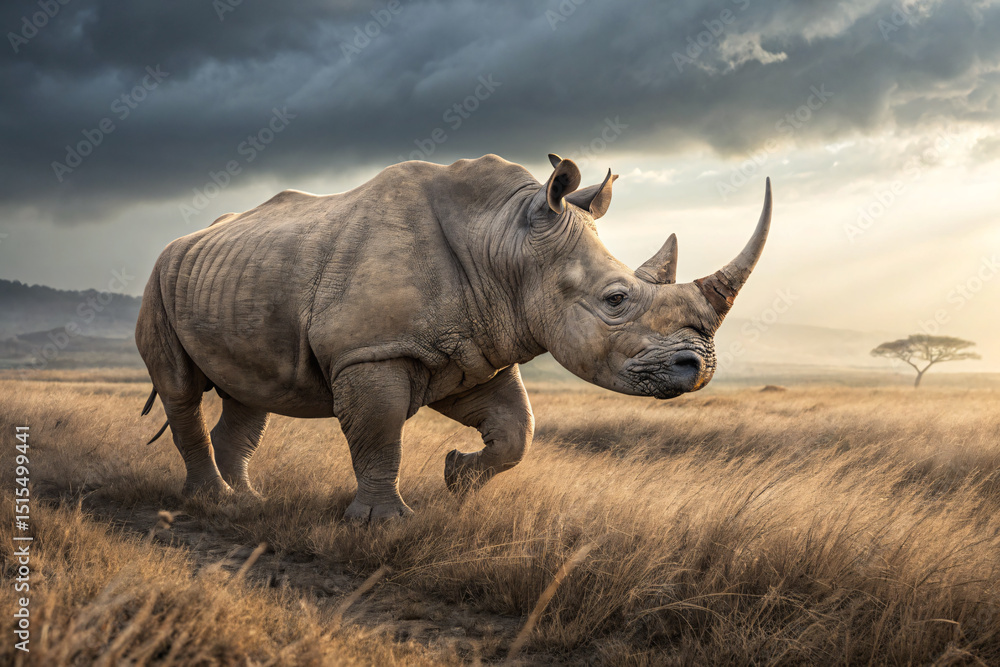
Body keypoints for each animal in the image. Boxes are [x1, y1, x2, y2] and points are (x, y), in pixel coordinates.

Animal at [136, 153, 771, 521]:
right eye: (616, 300)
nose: (700, 368)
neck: (507, 241)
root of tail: (184, 240)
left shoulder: (479, 349)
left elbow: (518, 430)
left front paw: (457, 479)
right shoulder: (372, 352)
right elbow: (380, 433)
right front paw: (384, 524)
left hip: (231, 277)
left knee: (250, 396)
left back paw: (246, 502)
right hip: (160, 276)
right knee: (182, 389)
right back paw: (212, 501)